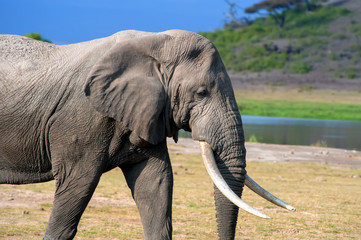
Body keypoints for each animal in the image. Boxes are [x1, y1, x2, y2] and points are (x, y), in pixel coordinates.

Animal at [0, 30, 294, 240]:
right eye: (201, 93)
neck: (155, 43)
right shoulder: (80, 120)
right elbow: (78, 183)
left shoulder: (148, 113)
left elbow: (157, 183)